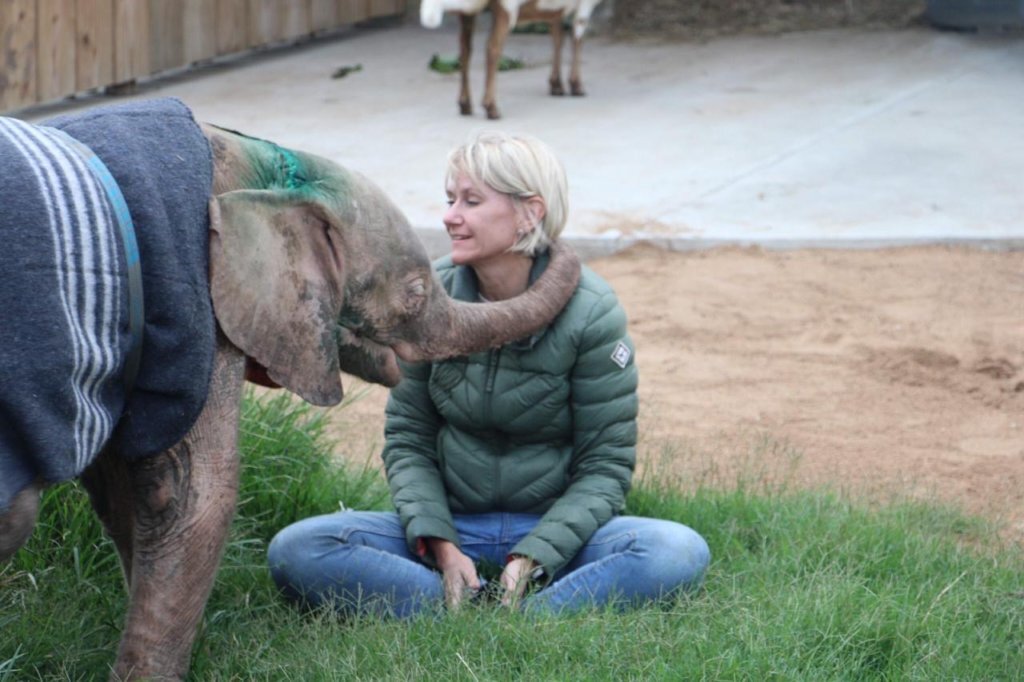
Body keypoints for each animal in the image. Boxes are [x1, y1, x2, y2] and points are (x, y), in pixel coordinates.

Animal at [0, 98, 580, 680]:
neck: (272, 170)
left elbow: (129, 495)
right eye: (415, 293)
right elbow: (194, 498)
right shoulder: (199, 307)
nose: (551, 236)